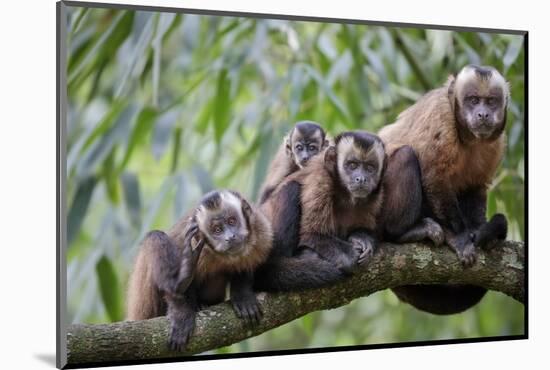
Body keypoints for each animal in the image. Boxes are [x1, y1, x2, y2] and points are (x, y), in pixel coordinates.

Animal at [129, 191, 276, 350]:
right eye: (217, 230)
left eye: (232, 221)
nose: (230, 237)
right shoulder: (194, 241)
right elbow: (174, 294)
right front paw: (181, 314)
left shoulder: (261, 230)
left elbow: (246, 265)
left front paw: (243, 296)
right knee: (154, 237)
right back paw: (181, 280)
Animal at [380, 65, 512, 314]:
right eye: (473, 100)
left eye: (490, 102)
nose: (482, 114)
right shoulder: (441, 117)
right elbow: (434, 176)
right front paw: (459, 237)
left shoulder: (497, 143)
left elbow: (476, 186)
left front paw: (479, 229)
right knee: (406, 156)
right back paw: (404, 233)